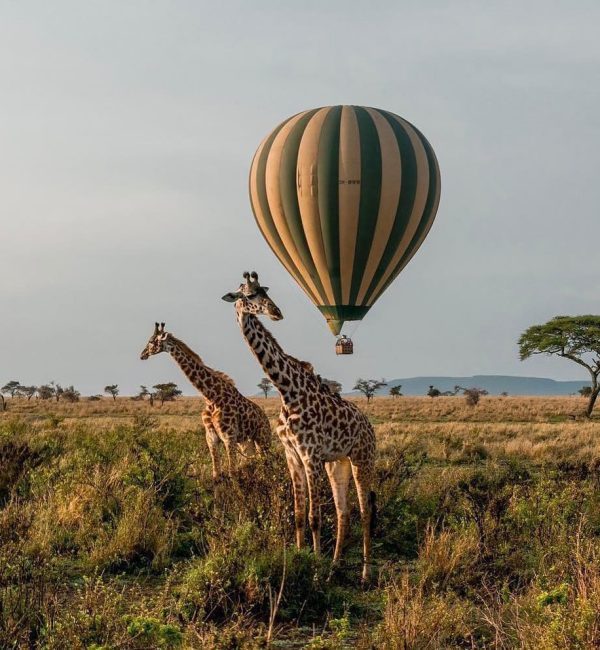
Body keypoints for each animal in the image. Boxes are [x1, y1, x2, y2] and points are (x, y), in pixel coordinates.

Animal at [139, 322, 270, 478]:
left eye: (151, 341)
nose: (142, 355)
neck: (211, 396)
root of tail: (266, 419)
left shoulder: (229, 437)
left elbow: (232, 473)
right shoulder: (211, 438)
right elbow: (216, 475)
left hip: (263, 439)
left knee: (268, 464)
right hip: (246, 443)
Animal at [223, 270, 378, 580]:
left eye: (265, 291)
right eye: (249, 294)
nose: (276, 312)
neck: (286, 389)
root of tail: (370, 428)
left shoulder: (311, 456)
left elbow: (314, 516)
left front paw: (315, 572)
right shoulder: (292, 455)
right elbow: (297, 515)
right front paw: (300, 560)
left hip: (362, 459)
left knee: (365, 510)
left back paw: (365, 574)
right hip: (338, 463)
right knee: (343, 511)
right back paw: (334, 566)